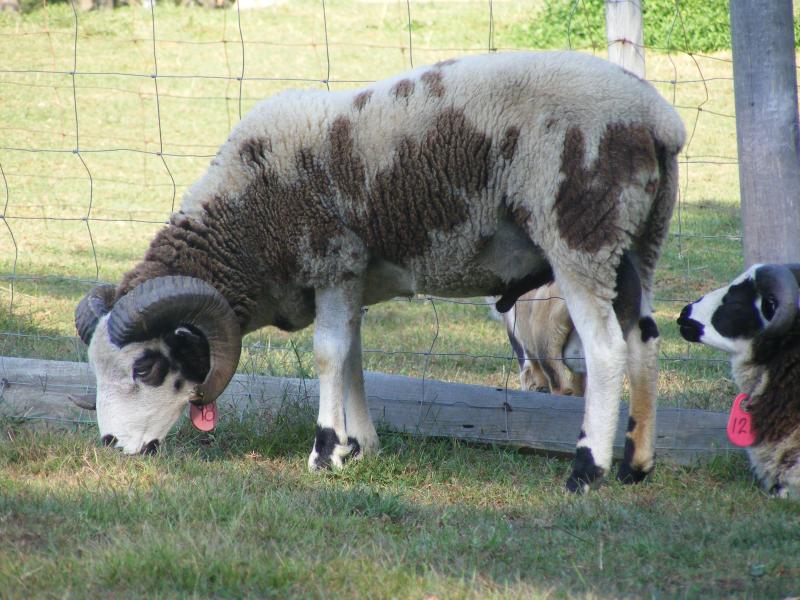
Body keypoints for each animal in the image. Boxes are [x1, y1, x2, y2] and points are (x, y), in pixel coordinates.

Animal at [74, 51, 685, 492]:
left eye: (146, 367)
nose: (109, 445)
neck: (245, 221)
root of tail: (659, 120)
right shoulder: (350, 281)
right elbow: (352, 360)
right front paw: (362, 447)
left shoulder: (331, 262)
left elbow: (328, 355)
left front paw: (325, 453)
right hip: (638, 245)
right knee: (644, 340)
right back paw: (636, 465)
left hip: (580, 237)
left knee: (605, 350)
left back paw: (587, 471)